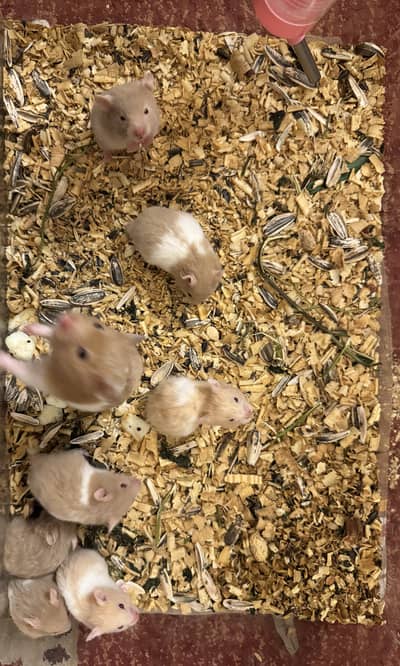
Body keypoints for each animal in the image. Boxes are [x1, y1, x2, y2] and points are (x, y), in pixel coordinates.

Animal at [0, 311, 144, 412]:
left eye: (82, 354)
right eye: (98, 325)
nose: (66, 318)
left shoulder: (47, 378)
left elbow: (21, 368)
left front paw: (2, 357)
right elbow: (50, 331)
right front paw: (28, 327)